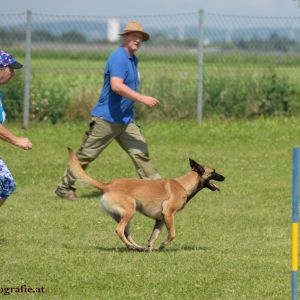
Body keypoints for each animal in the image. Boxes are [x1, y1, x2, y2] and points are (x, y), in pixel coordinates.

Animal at [67, 148, 224, 251]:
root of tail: (107, 185)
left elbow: (153, 235)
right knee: (119, 231)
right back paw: (131, 246)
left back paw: (137, 247)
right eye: (213, 172)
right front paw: (162, 245)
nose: (224, 177)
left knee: (126, 233)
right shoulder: (169, 214)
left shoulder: (160, 219)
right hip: (129, 211)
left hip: (123, 216)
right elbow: (172, 234)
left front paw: (149, 248)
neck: (183, 185)